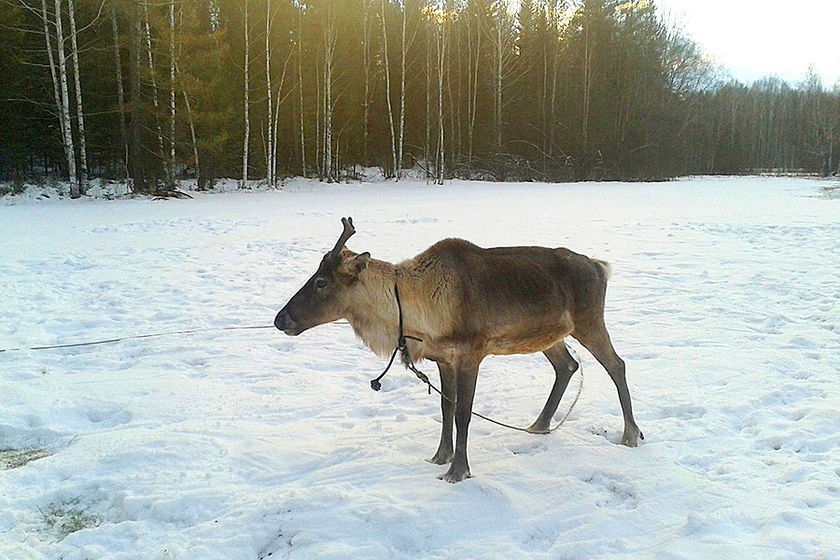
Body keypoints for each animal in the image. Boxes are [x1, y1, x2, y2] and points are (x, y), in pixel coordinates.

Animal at [274, 217, 643, 483]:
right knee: (567, 366)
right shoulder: (443, 358)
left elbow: (464, 413)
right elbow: (446, 408)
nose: (280, 319)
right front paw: (440, 455)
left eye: (321, 282)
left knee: (617, 365)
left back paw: (630, 433)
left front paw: (457, 470)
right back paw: (539, 425)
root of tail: (599, 266)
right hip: (550, 336)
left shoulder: (470, 354)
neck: (411, 309)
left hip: (589, 321)